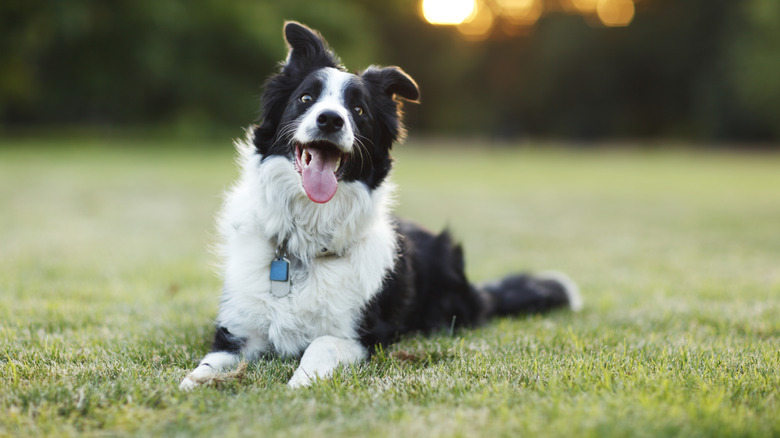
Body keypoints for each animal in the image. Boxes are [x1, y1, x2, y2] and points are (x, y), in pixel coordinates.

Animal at [178, 22, 580, 388]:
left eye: (358, 110)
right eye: (306, 99)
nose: (330, 119)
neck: (305, 243)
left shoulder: (366, 336)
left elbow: (322, 343)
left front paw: (301, 381)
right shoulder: (237, 330)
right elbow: (210, 363)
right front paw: (196, 382)